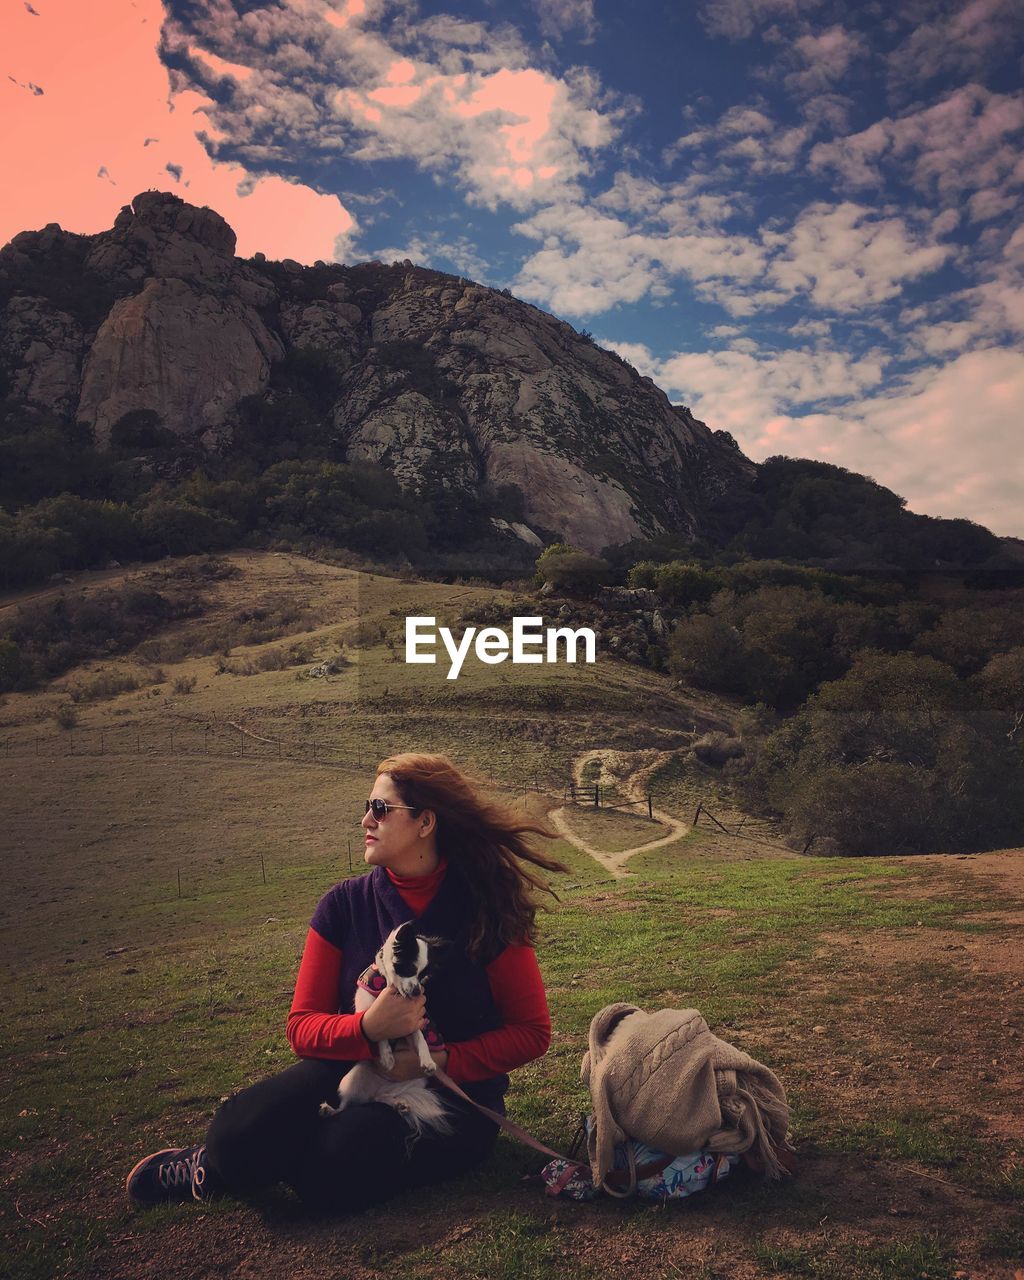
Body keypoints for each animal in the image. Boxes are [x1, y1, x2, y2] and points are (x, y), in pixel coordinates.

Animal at [316, 926, 453, 1136]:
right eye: (408, 969)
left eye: (423, 977)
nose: (416, 992)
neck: (389, 988)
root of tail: (375, 1090)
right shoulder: (369, 1013)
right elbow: (380, 1032)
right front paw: (387, 1056)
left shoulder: (412, 1022)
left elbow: (421, 1039)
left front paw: (428, 1061)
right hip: (350, 1079)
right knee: (346, 1105)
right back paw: (329, 1110)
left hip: (412, 1082)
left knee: (380, 1098)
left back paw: (399, 1105)